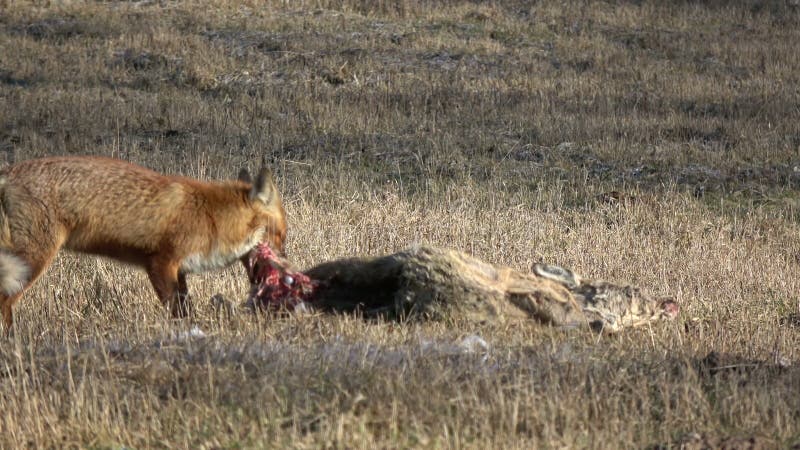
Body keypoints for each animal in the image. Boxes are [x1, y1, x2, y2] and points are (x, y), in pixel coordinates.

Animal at [0, 157, 286, 330]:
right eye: (282, 236)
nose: (286, 263)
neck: (211, 217)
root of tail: (9, 172)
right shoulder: (160, 263)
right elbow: (176, 310)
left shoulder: (179, 270)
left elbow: (186, 307)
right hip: (30, 261)